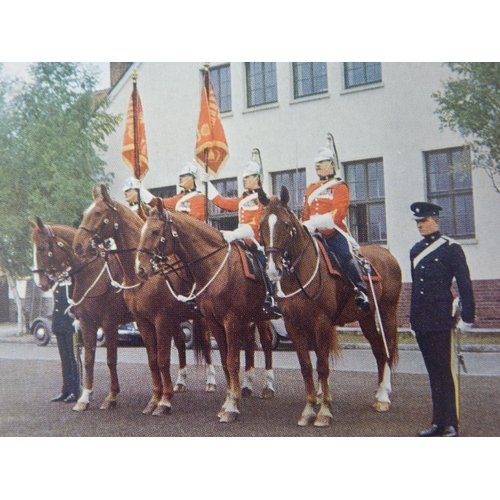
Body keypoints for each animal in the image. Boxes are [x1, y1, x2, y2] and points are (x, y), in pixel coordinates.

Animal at [73, 187, 215, 414]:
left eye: (98, 213)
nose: (78, 245)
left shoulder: (159, 320)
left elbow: (163, 360)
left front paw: (164, 401)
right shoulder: (143, 322)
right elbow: (152, 360)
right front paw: (155, 399)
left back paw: (215, 382)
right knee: (182, 343)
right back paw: (181, 382)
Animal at [136, 204, 278, 422]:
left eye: (155, 231)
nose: (141, 269)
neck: (218, 268)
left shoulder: (230, 321)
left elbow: (232, 361)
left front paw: (232, 407)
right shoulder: (214, 322)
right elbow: (225, 362)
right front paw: (229, 401)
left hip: (260, 317)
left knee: (267, 342)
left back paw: (268, 386)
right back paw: (247, 386)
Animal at [258, 188, 402, 426]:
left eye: (286, 225)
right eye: (261, 225)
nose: (272, 269)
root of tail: (387, 254)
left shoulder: (322, 323)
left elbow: (323, 366)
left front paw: (324, 411)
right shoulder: (295, 326)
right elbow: (307, 366)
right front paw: (309, 409)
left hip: (387, 313)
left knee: (387, 349)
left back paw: (383, 396)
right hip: (366, 317)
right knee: (378, 351)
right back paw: (378, 394)